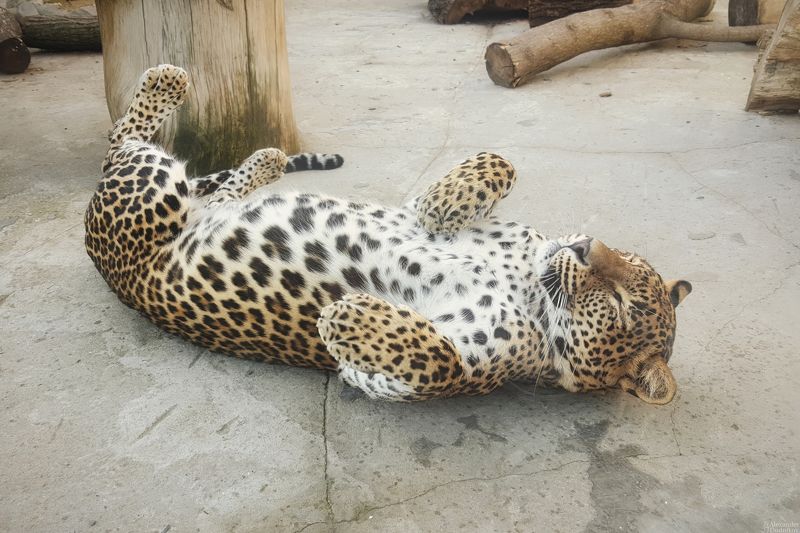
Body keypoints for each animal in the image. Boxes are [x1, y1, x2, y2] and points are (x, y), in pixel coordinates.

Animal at [85, 65, 692, 404]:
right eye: (624, 256)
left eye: (619, 305)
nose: (585, 247)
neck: (530, 283)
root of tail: (106, 264)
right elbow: (500, 162)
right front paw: (445, 202)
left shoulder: (425, 377)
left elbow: (433, 360)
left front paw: (347, 315)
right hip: (159, 194)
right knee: (130, 145)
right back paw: (205, 109)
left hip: (150, 201)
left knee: (131, 150)